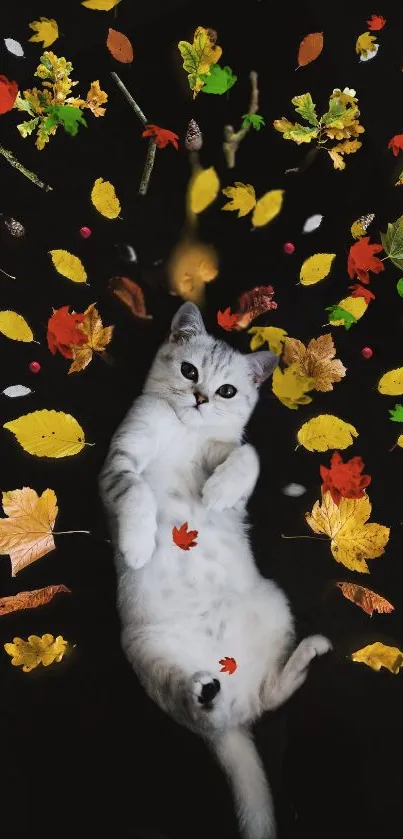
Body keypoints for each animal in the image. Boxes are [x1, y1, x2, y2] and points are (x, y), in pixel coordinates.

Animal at [99, 304, 332, 839]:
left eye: (227, 392)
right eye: (189, 371)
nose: (201, 397)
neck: (186, 432)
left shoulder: (220, 453)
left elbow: (248, 454)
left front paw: (219, 494)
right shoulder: (119, 461)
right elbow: (135, 490)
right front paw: (137, 544)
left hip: (274, 605)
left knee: (268, 698)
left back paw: (306, 654)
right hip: (150, 654)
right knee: (203, 715)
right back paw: (204, 691)